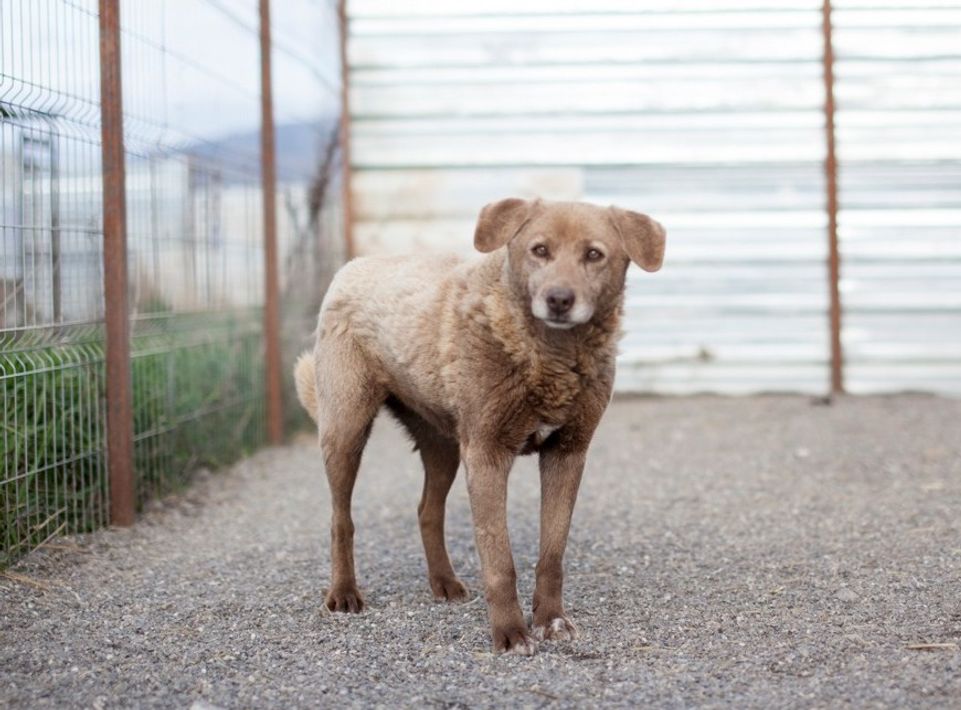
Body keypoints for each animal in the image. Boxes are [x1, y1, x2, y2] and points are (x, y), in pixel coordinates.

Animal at [294, 198, 665, 654]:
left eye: (594, 254)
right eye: (539, 250)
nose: (559, 299)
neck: (546, 354)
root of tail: (352, 266)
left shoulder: (568, 454)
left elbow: (552, 553)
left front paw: (552, 620)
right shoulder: (488, 455)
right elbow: (499, 559)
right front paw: (510, 634)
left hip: (444, 445)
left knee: (428, 510)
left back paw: (444, 583)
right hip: (346, 428)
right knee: (340, 518)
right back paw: (344, 593)